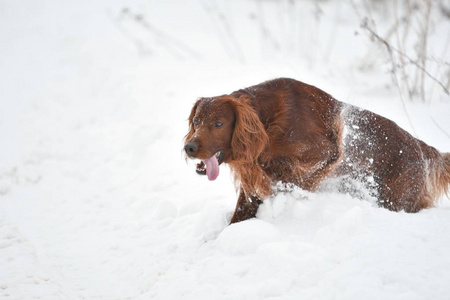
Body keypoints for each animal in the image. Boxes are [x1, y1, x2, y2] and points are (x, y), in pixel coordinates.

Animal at [184, 77, 450, 223]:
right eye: (196, 121)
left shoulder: (326, 152)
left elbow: (295, 179)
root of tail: (421, 147)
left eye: (219, 124)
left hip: (397, 199)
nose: (189, 147)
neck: (268, 123)